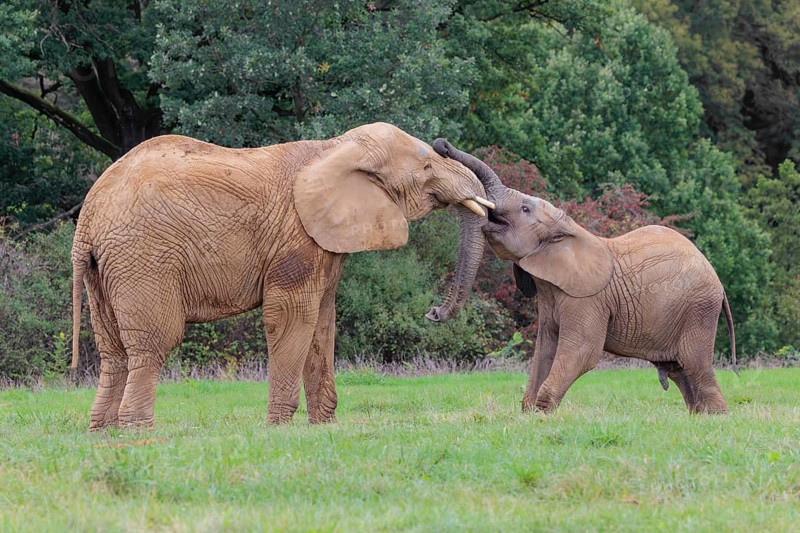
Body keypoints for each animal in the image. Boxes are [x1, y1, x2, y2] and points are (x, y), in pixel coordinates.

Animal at [70, 122, 495, 429]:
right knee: (152, 344)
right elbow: (291, 317)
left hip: (106, 269)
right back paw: (137, 431)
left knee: (113, 351)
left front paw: (324, 426)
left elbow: (323, 321)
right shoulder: (297, 238)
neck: (334, 147)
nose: (432, 313)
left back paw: (102, 432)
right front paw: (279, 426)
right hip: (142, 258)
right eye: (426, 169)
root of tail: (88, 216)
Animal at [433, 139, 736, 414]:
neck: (569, 230)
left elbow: (583, 350)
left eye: (525, 209)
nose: (441, 144)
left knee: (694, 363)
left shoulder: (588, 299)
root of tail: (719, 283)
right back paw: (699, 414)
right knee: (678, 369)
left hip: (698, 309)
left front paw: (542, 412)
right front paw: (529, 413)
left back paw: (715, 416)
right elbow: (545, 348)